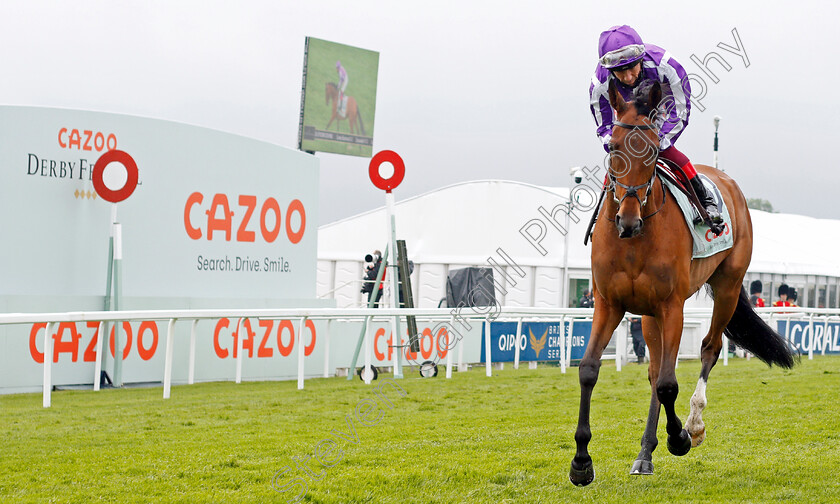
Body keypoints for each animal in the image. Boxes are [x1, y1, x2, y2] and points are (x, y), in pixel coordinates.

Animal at [572, 80, 796, 486]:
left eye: (652, 150)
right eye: (613, 147)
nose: (628, 220)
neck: (635, 240)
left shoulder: (671, 306)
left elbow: (668, 383)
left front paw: (678, 437)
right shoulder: (610, 304)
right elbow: (590, 370)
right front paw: (581, 461)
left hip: (726, 286)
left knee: (709, 348)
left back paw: (692, 424)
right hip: (646, 314)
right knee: (654, 370)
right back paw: (644, 455)